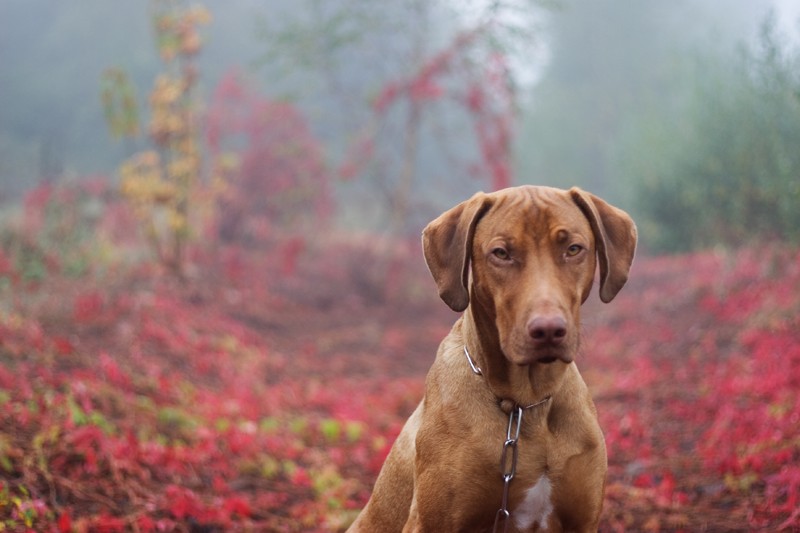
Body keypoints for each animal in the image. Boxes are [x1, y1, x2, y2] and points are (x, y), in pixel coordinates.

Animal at [348, 185, 636, 528]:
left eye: (573, 249)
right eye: (501, 253)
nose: (548, 330)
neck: (524, 405)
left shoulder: (583, 520)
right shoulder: (430, 521)